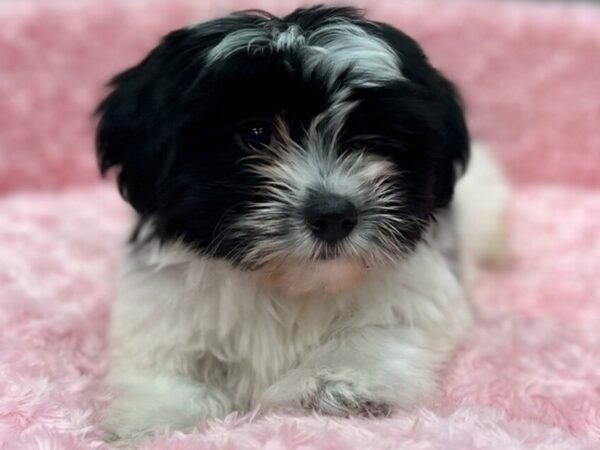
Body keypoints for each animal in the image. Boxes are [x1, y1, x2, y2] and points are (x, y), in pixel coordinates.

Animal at [96, 5, 508, 442]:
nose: (333, 216)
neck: (290, 282)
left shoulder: (418, 295)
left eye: (368, 135)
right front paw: (159, 417)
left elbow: (382, 331)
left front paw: (337, 383)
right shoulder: (161, 310)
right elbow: (162, 363)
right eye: (256, 133)